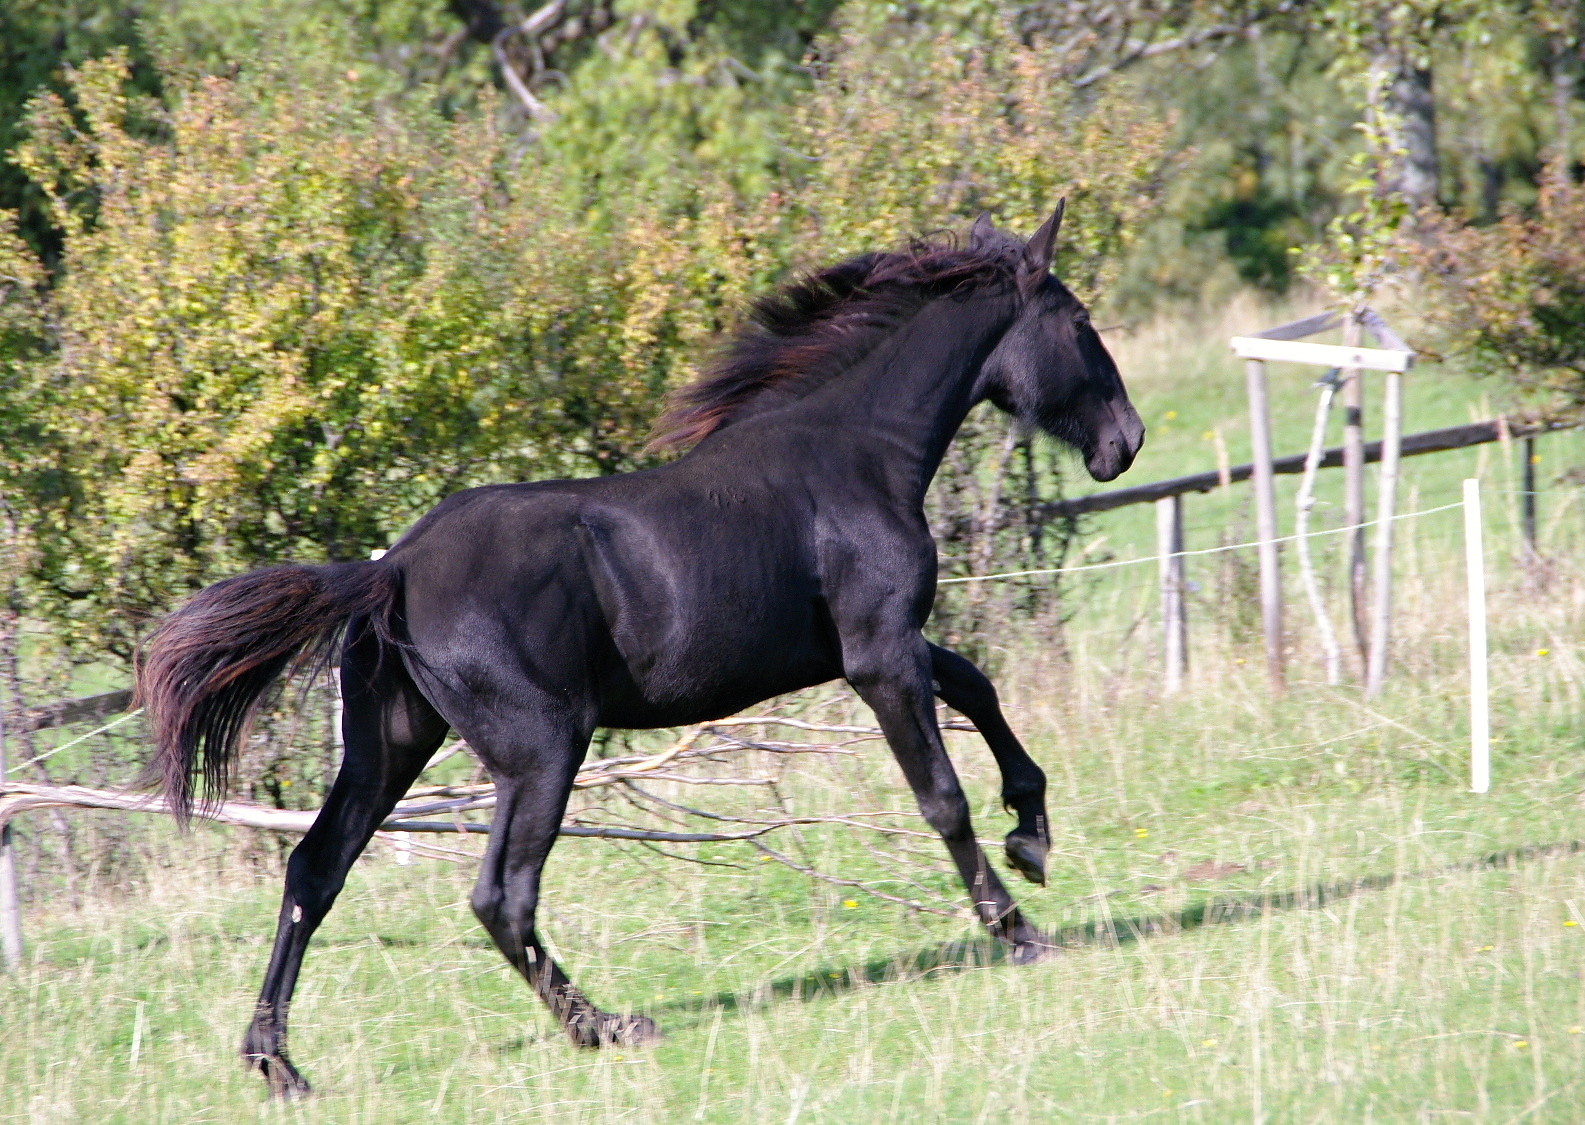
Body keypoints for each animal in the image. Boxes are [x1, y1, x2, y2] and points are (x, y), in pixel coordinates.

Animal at [136, 202, 1141, 1102]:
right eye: (1078, 321)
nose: (1124, 442)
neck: (851, 456)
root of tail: (392, 569)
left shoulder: (877, 647)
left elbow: (976, 683)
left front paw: (1031, 833)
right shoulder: (877, 656)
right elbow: (940, 794)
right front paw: (1018, 927)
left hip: (391, 743)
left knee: (316, 868)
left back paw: (279, 1063)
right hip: (541, 750)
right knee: (500, 895)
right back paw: (606, 1026)